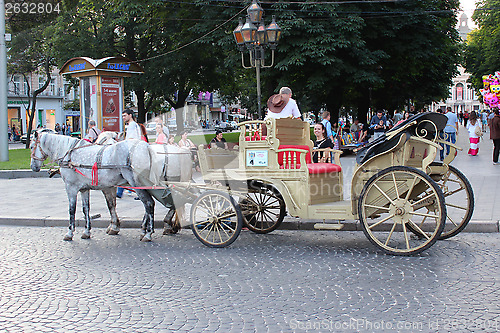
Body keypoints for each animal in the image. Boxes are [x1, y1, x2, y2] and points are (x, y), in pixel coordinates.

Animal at [31, 130, 160, 241]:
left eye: (32, 146)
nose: (33, 167)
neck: (69, 155)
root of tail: (147, 147)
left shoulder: (71, 187)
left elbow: (72, 210)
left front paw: (69, 232)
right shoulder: (84, 189)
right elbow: (86, 209)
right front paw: (87, 231)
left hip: (136, 183)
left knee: (149, 203)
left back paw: (148, 233)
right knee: (147, 205)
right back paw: (144, 230)